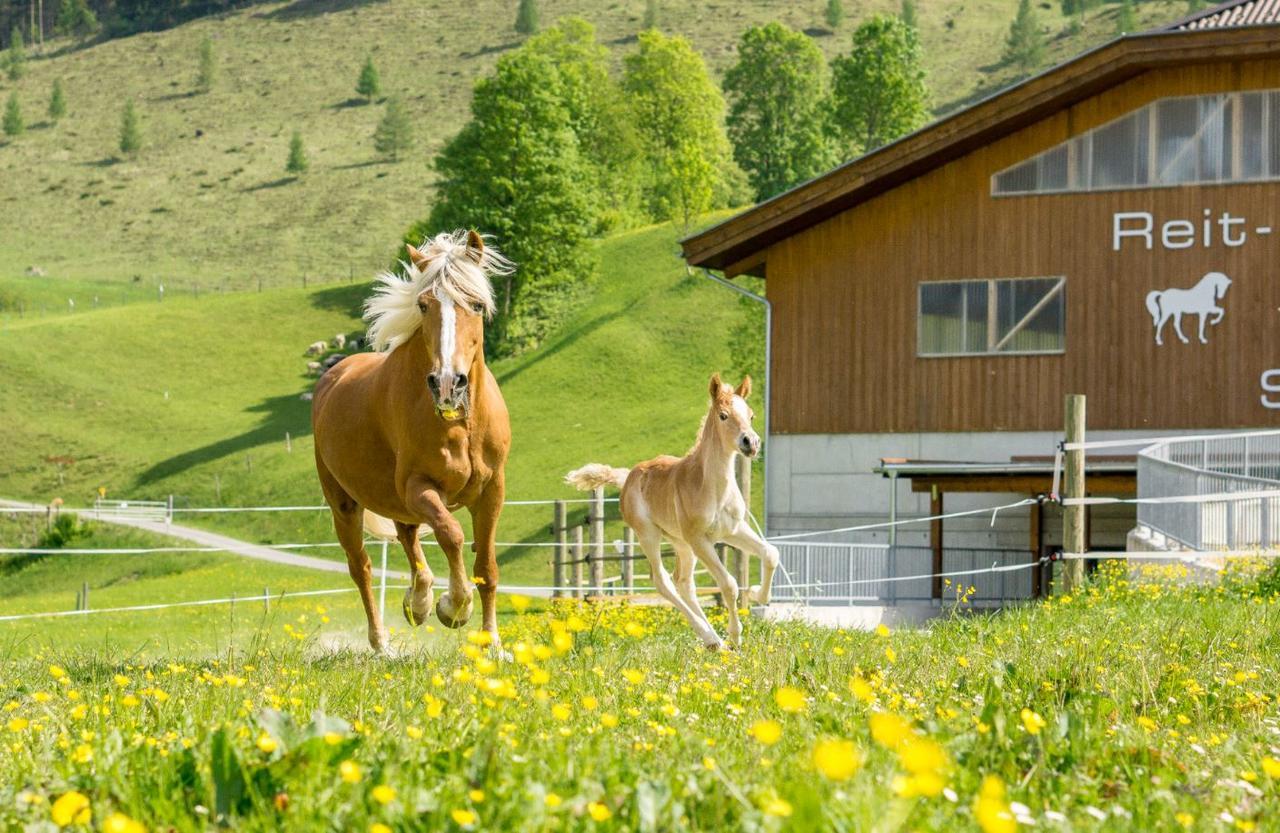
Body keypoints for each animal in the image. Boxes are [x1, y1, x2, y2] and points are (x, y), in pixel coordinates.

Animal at [312, 231, 512, 655]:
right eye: (424, 305)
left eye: (476, 303)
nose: (448, 383)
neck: (460, 424)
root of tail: (334, 373)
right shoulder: (420, 487)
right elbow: (452, 535)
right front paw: (454, 607)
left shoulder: (492, 490)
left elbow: (486, 566)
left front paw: (492, 643)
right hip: (344, 504)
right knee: (362, 568)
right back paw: (382, 643)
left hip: (397, 501)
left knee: (407, 538)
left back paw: (416, 602)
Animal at [568, 373, 778, 652]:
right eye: (723, 415)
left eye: (751, 415)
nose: (751, 443)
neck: (710, 485)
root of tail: (628, 477)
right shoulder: (699, 539)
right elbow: (729, 584)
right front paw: (735, 636)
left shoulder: (732, 530)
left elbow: (770, 553)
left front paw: (757, 594)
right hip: (650, 535)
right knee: (663, 580)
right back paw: (712, 637)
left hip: (681, 543)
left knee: (684, 582)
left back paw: (713, 640)